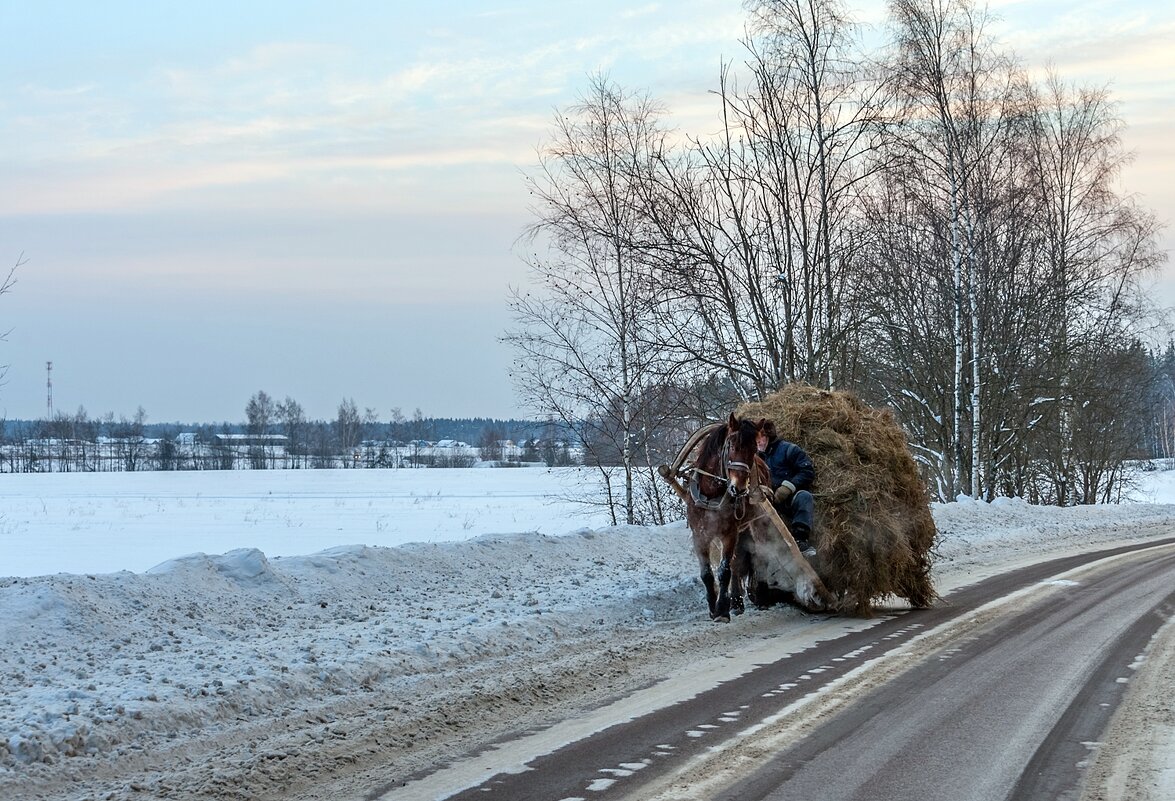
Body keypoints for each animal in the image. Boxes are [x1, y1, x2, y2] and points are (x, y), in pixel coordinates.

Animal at [681, 415, 761, 620]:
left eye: (754, 449)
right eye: (731, 445)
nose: (739, 488)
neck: (710, 495)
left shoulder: (729, 533)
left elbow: (725, 570)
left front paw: (723, 609)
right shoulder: (699, 535)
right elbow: (707, 573)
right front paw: (712, 607)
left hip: (752, 524)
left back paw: (752, 593)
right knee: (738, 561)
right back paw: (737, 601)